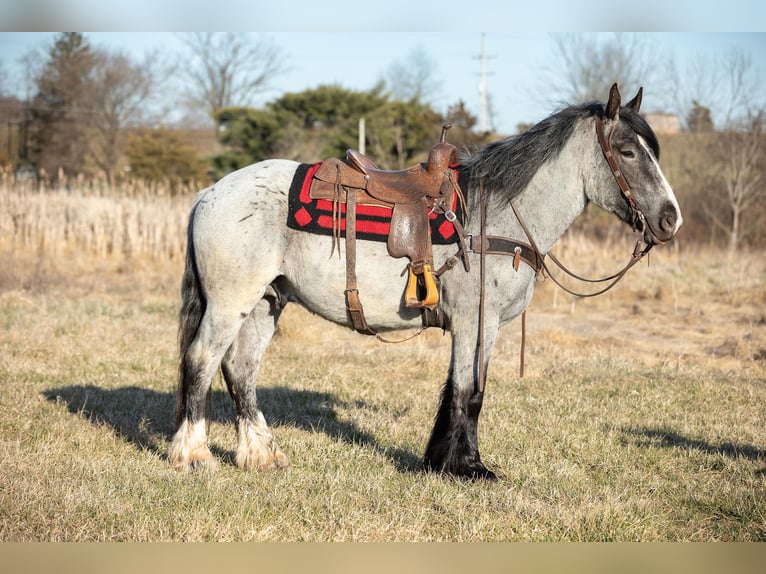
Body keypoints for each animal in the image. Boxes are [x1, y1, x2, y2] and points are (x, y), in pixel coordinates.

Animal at [170, 85, 684, 482]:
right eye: (627, 152)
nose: (670, 219)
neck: (494, 218)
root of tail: (210, 193)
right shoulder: (478, 322)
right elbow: (469, 392)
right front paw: (468, 468)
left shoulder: (474, 327)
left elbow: (458, 389)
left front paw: (442, 461)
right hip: (230, 303)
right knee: (201, 361)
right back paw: (193, 455)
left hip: (266, 302)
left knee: (240, 370)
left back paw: (260, 454)